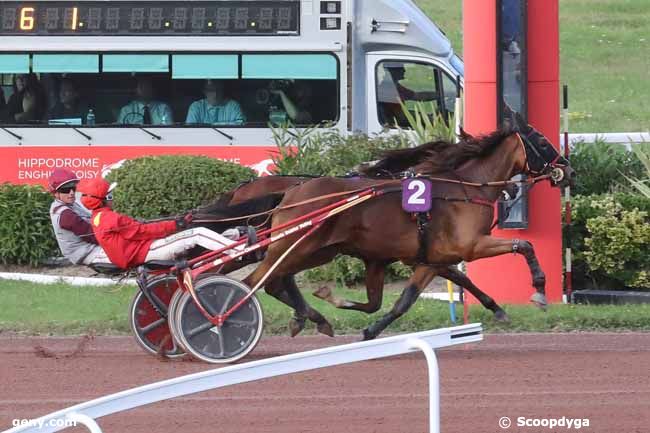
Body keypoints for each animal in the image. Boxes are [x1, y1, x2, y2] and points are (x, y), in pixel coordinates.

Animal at [242, 114, 572, 338]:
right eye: (543, 142)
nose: (568, 170)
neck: (464, 188)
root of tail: (291, 192)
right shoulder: (471, 245)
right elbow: (524, 244)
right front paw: (539, 291)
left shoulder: (431, 259)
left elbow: (403, 300)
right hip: (295, 247)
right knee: (254, 282)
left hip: (315, 251)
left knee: (275, 282)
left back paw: (308, 317)